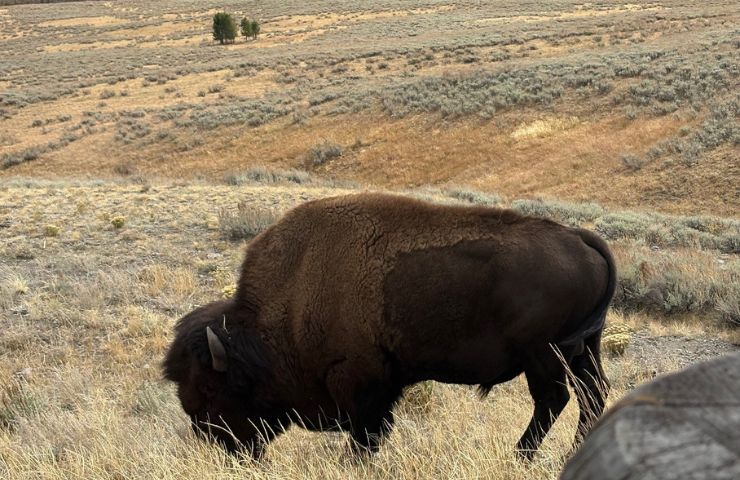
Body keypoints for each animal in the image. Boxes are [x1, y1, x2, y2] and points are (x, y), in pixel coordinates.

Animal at [163, 193, 615, 459]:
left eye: (210, 389)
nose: (216, 443)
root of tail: (579, 237)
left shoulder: (361, 382)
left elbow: (366, 433)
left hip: (544, 355)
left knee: (554, 399)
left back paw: (519, 455)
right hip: (584, 348)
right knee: (592, 394)